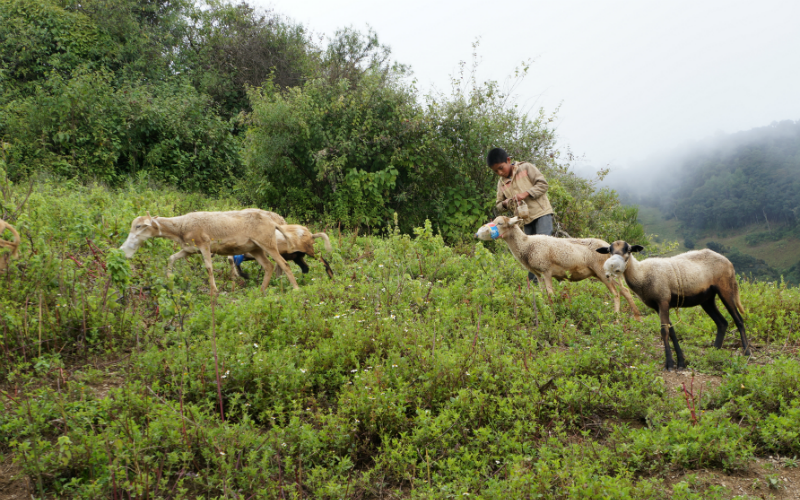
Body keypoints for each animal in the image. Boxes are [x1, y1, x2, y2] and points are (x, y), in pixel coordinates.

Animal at [122, 210, 300, 292]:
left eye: (139, 226)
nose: (124, 249)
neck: (180, 227)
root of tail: (273, 221)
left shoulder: (204, 245)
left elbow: (208, 267)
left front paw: (214, 290)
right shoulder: (189, 249)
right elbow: (171, 258)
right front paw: (169, 279)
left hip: (267, 243)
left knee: (284, 264)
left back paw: (296, 289)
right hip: (255, 248)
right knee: (269, 266)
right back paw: (261, 290)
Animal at [476, 216, 644, 320]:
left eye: (499, 223)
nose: (477, 234)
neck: (527, 245)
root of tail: (608, 246)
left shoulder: (546, 271)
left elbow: (550, 295)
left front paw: (552, 315)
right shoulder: (538, 274)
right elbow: (542, 294)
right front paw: (543, 311)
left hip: (603, 272)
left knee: (616, 293)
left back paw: (616, 318)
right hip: (607, 273)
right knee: (625, 290)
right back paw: (636, 316)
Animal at [600, 240, 752, 370]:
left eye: (628, 250)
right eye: (609, 250)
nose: (614, 266)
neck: (642, 274)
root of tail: (728, 261)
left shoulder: (663, 299)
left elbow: (664, 331)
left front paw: (669, 364)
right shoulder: (658, 306)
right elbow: (672, 331)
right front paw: (680, 362)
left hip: (725, 288)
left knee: (738, 320)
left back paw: (747, 352)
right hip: (707, 299)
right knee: (722, 323)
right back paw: (715, 351)